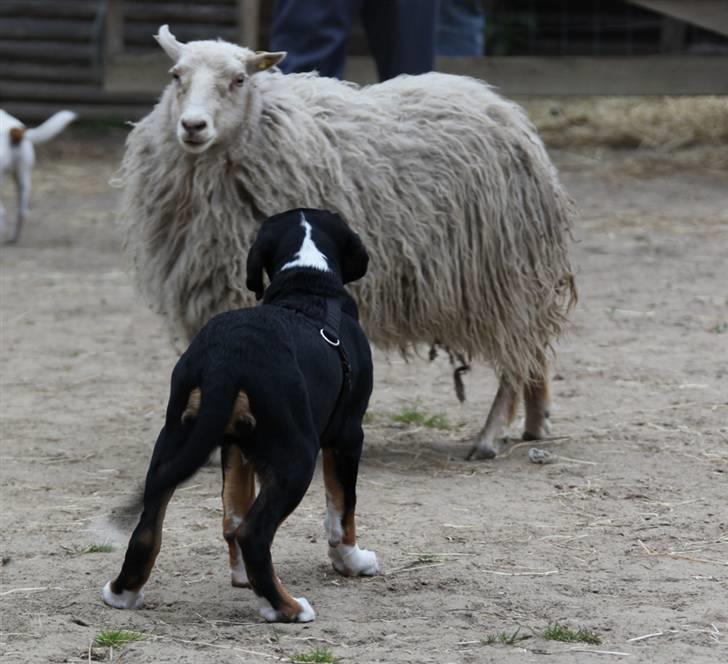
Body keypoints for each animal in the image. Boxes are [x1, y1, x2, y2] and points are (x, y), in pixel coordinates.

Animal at [103, 208, 382, 624]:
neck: (308, 280)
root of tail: (226, 359)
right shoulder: (347, 436)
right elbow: (341, 509)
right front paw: (352, 561)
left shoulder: (234, 445)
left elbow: (233, 511)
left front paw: (241, 579)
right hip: (297, 456)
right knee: (255, 533)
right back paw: (286, 607)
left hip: (173, 442)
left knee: (149, 527)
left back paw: (122, 594)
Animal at [116, 27, 576, 462]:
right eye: (176, 75)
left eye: (239, 79)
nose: (193, 126)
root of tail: (510, 115)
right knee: (533, 349)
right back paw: (536, 423)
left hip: (501, 275)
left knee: (515, 357)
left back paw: (489, 437)